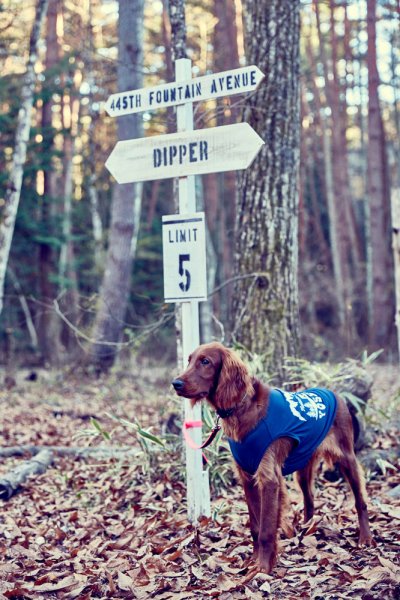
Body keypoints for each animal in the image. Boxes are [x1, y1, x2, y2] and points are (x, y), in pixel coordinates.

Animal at [171, 342, 372, 572]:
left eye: (205, 361)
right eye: (189, 360)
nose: (176, 383)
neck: (243, 408)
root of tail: (336, 395)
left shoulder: (268, 478)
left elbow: (267, 529)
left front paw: (263, 568)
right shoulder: (248, 478)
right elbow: (256, 527)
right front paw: (253, 559)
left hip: (347, 458)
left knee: (360, 500)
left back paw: (365, 538)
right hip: (303, 467)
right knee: (310, 498)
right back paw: (306, 529)